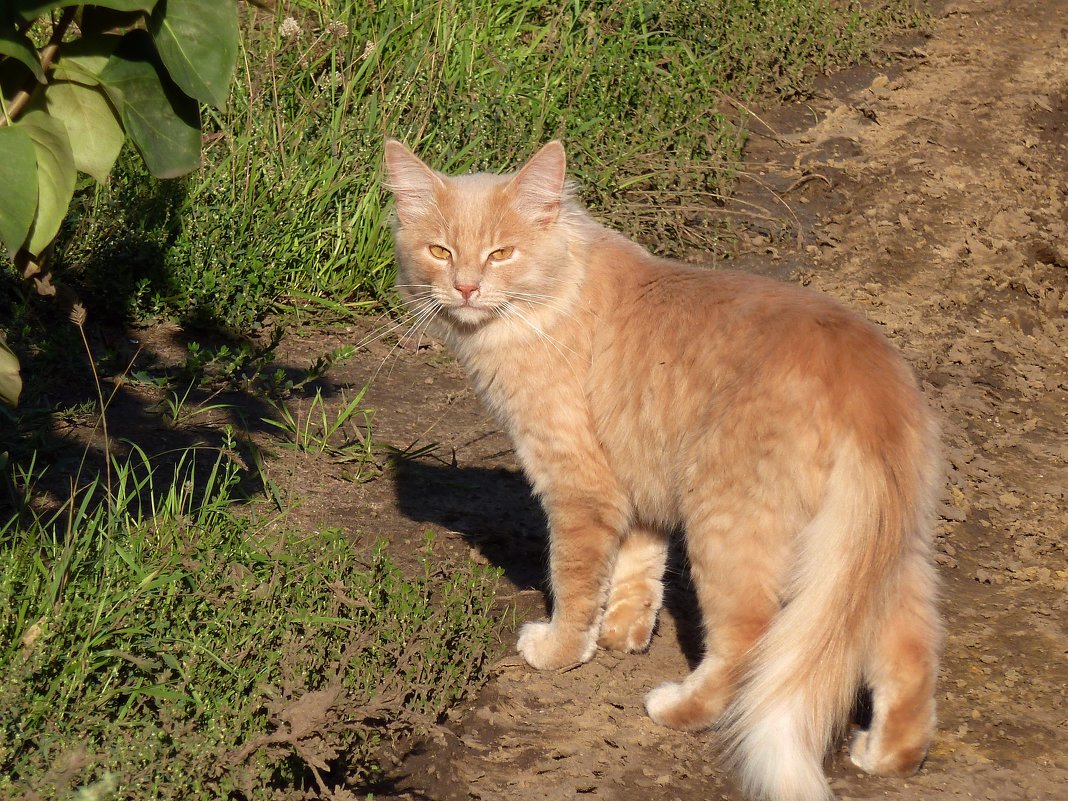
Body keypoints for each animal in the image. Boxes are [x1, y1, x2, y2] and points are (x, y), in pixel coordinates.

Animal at [384, 140, 944, 801]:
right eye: (440, 252)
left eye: (501, 253)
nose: (466, 287)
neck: (560, 295)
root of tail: (868, 377)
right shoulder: (638, 473)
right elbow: (637, 565)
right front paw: (622, 633)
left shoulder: (578, 485)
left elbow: (574, 582)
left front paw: (561, 649)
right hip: (876, 549)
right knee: (910, 651)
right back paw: (886, 756)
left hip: (728, 525)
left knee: (749, 642)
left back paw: (679, 707)